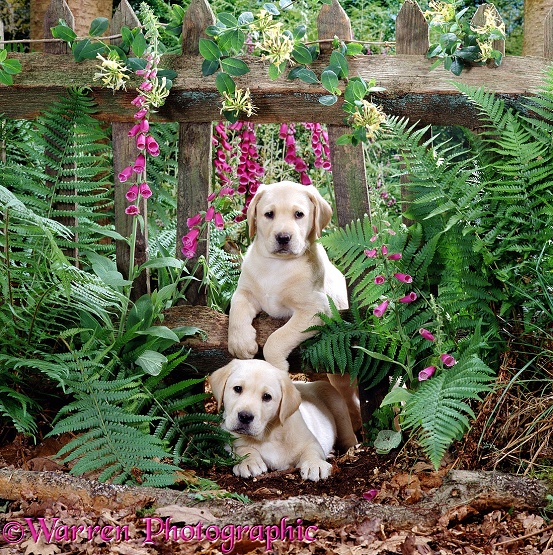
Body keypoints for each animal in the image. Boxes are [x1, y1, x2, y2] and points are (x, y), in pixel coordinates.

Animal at [208, 360, 358, 482]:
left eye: (267, 397)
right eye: (237, 388)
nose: (245, 416)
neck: (268, 435)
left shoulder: (309, 440)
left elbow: (312, 450)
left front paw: (315, 464)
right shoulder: (226, 439)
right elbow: (242, 447)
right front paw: (248, 462)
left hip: (336, 401)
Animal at [226, 182, 360, 430]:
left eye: (299, 214)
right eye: (269, 214)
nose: (283, 237)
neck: (276, 266)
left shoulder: (315, 308)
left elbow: (277, 339)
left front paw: (276, 368)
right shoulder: (245, 291)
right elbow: (236, 309)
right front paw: (240, 342)